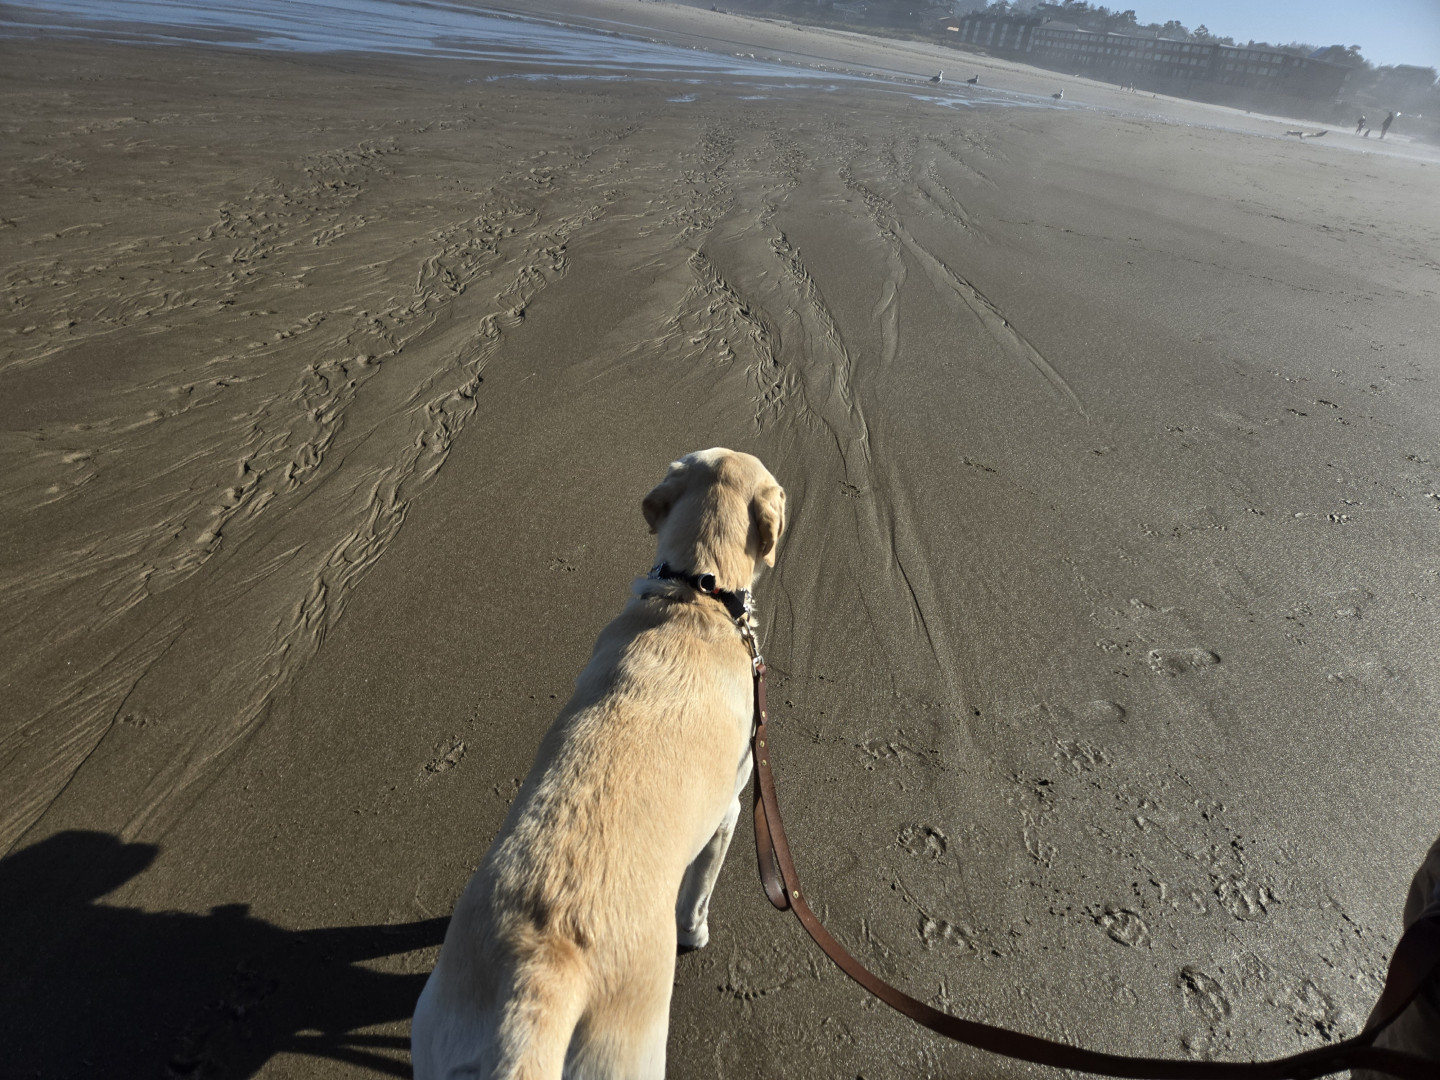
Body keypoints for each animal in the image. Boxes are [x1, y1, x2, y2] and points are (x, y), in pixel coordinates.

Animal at [412, 448, 785, 1080]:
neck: (695, 593)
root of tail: (543, 979)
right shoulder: (730, 815)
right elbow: (699, 895)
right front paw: (696, 934)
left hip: (440, 1029)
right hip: (628, 1053)